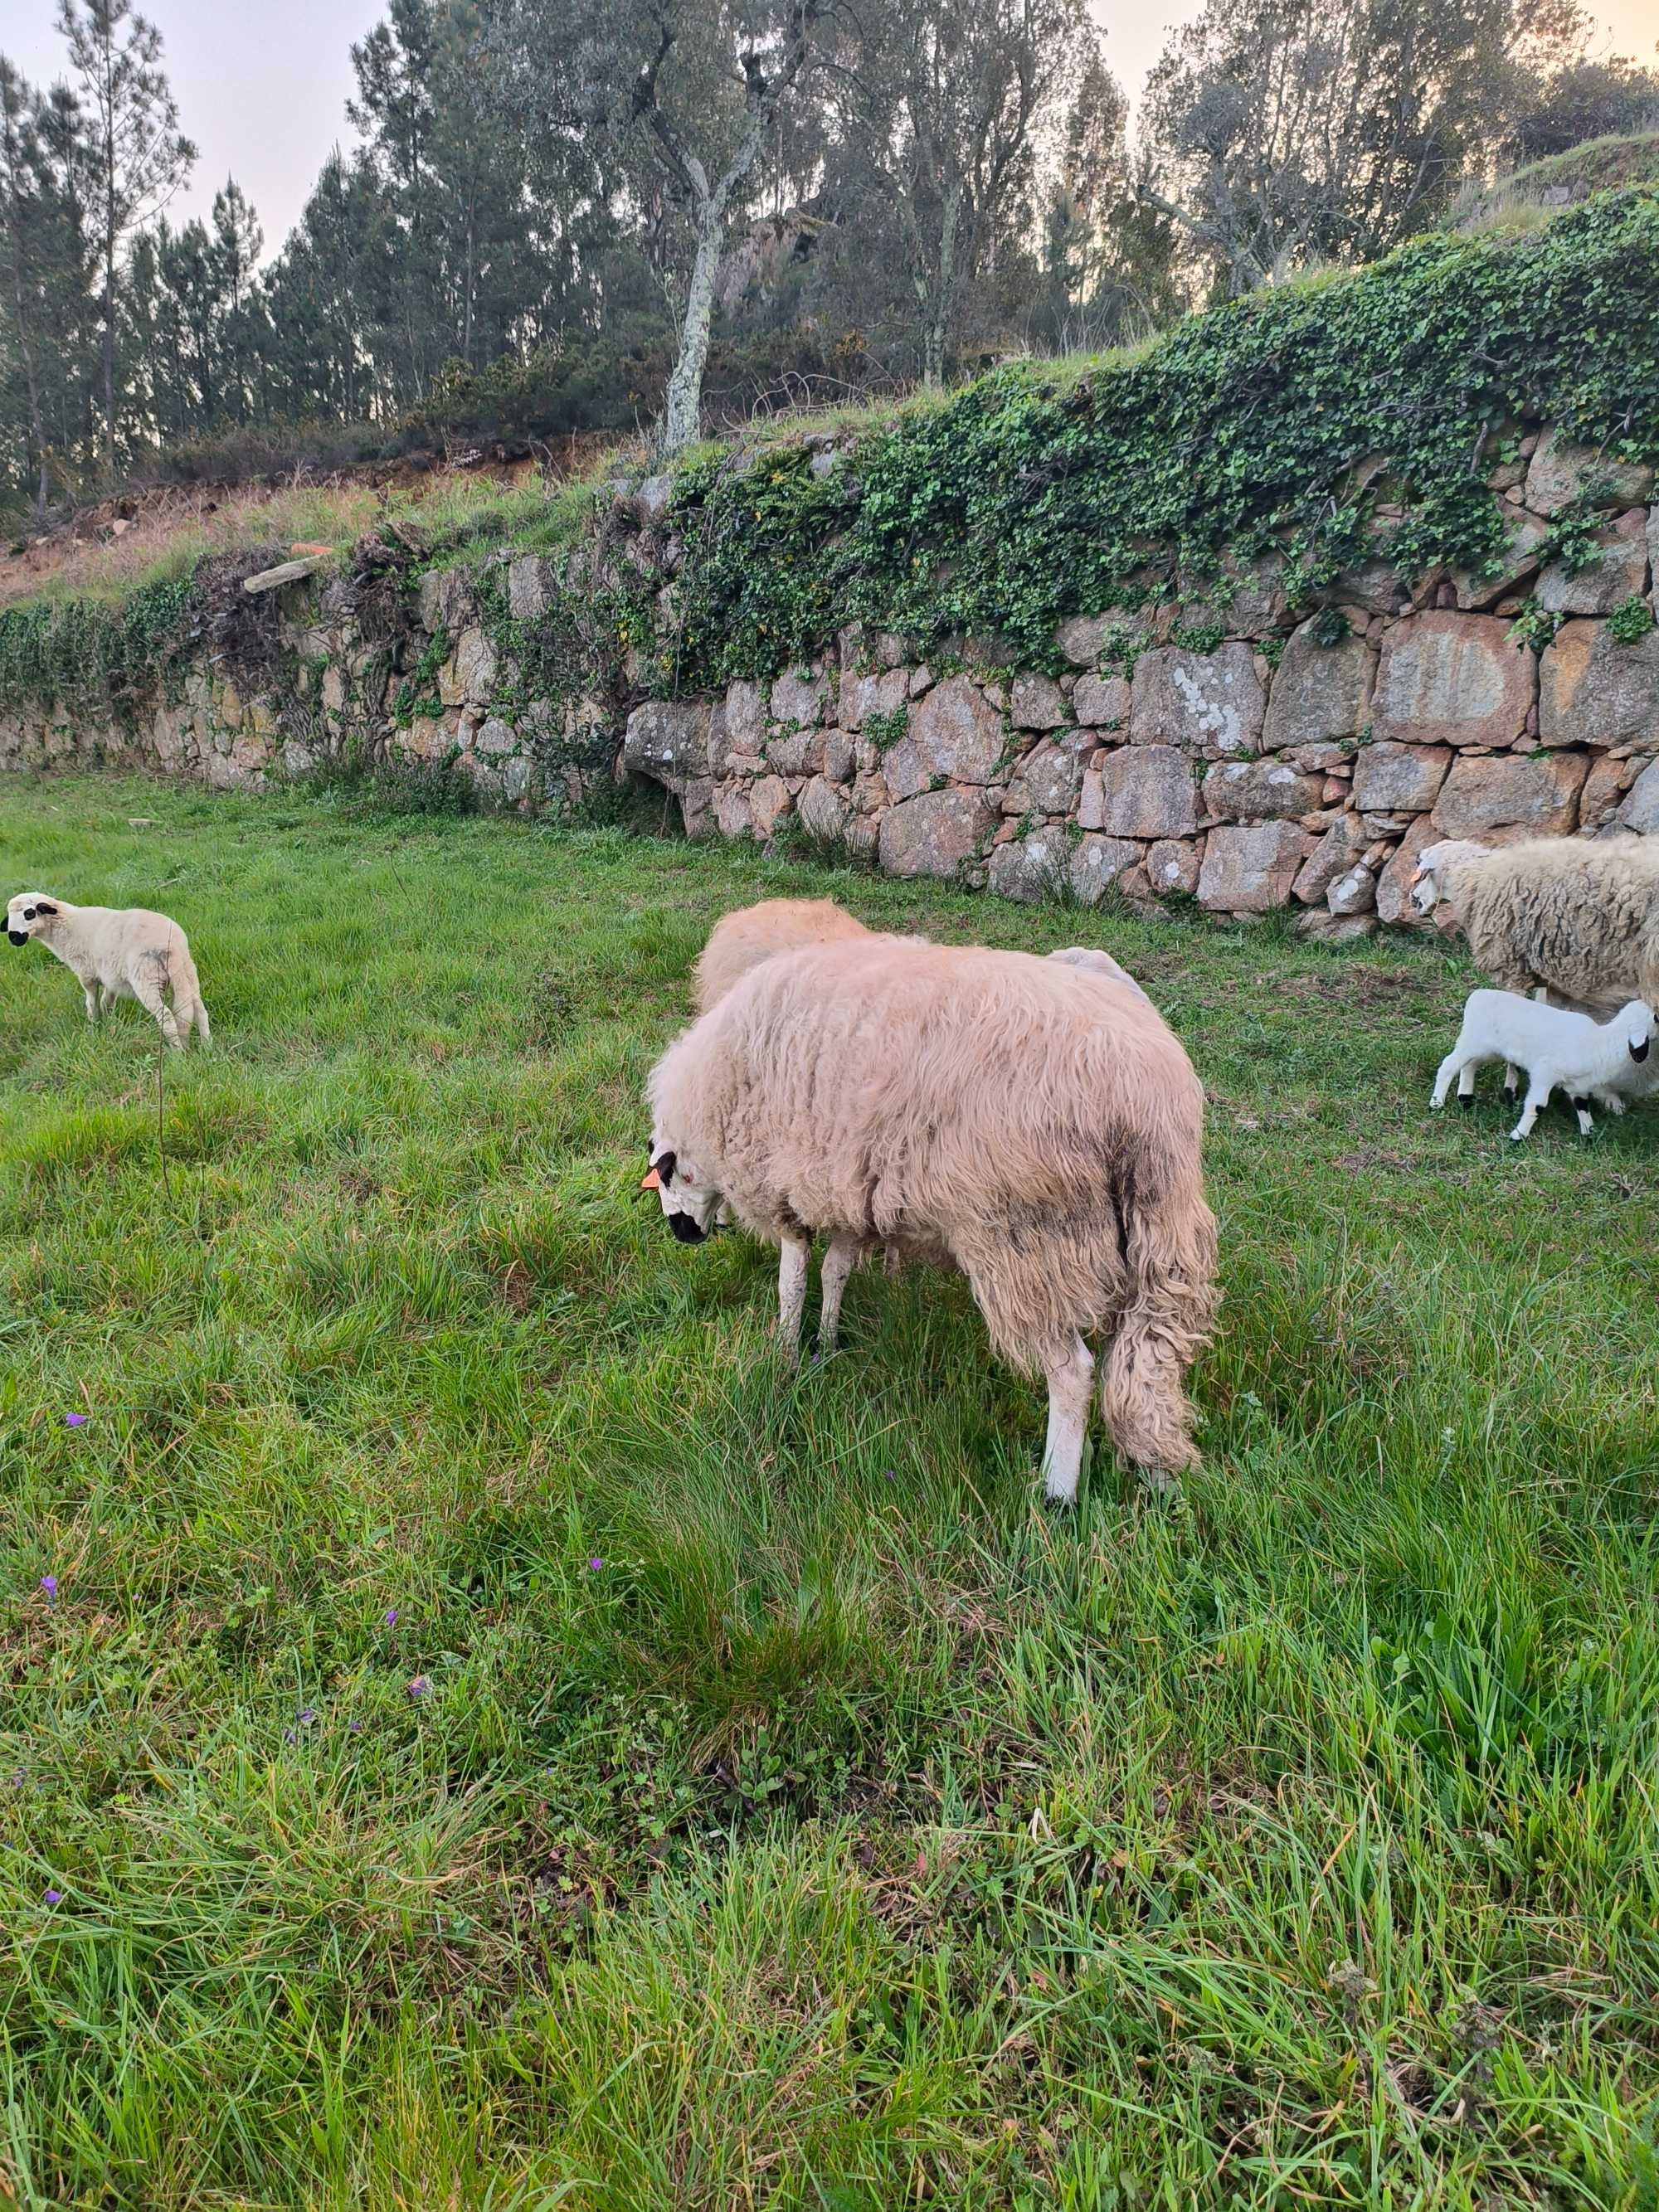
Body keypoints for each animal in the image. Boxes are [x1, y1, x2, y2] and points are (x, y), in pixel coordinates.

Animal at [5, 884, 211, 1048]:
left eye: (29, 913)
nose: (13, 937)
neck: (66, 927)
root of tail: (172, 944)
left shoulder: (86, 973)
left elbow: (91, 1000)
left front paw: (94, 1022)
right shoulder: (111, 975)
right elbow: (107, 1001)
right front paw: (108, 1023)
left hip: (147, 977)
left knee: (167, 1016)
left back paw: (178, 1053)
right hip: (187, 972)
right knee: (199, 1010)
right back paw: (207, 1047)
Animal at [645, 937, 1221, 1504]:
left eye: (663, 1177)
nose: (682, 1233)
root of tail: (1141, 1092)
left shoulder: (786, 1187)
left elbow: (793, 1280)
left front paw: (785, 1352)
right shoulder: (849, 1189)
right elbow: (836, 1272)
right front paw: (827, 1345)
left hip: (1032, 1241)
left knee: (1074, 1374)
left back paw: (1056, 1493)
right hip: (1157, 1231)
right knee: (1142, 1361)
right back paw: (1158, 1478)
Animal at [1433, 995, 1654, 1150]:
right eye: (1656, 1018)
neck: (1599, 1042)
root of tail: (1477, 996)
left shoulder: (1577, 1085)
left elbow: (1582, 1105)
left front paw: (1590, 1134)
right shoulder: (1545, 1073)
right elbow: (1537, 1105)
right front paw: (1518, 1136)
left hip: (1487, 1050)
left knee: (1469, 1065)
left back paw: (1465, 1099)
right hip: (1473, 1042)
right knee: (1448, 1065)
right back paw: (1436, 1104)